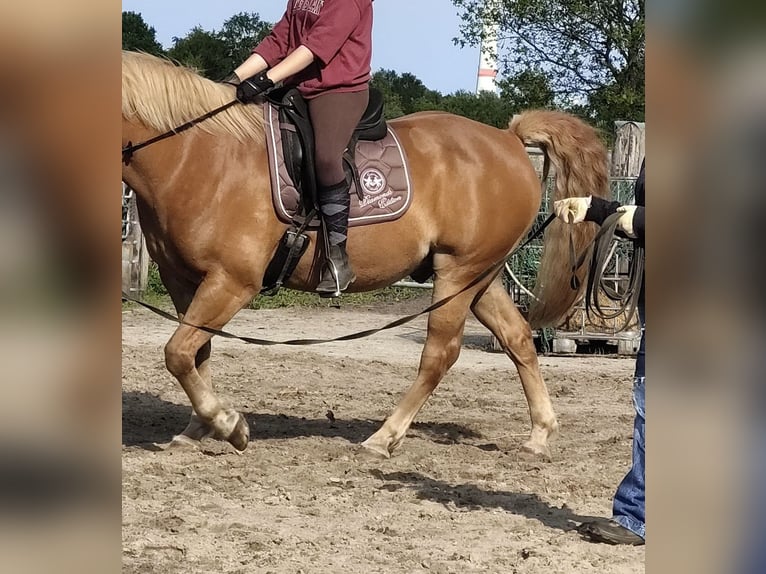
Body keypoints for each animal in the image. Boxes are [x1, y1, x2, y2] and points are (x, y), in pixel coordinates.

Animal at [121, 51, 612, 462]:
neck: (197, 157)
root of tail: (509, 140)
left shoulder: (232, 281)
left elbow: (177, 352)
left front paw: (229, 425)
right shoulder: (185, 280)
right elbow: (196, 353)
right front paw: (200, 428)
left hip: (458, 273)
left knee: (440, 353)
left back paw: (384, 437)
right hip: (481, 276)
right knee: (518, 339)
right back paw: (539, 434)